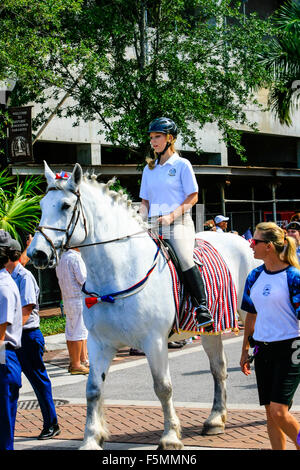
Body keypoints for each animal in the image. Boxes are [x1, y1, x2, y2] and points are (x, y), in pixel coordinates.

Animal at [27, 163, 258, 450]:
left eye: (66, 205)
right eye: (41, 204)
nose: (37, 254)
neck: (119, 271)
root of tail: (237, 240)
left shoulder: (154, 341)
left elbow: (163, 387)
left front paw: (170, 437)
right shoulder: (99, 343)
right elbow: (93, 389)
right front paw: (91, 438)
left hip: (248, 314)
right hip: (210, 329)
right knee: (218, 368)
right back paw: (215, 420)